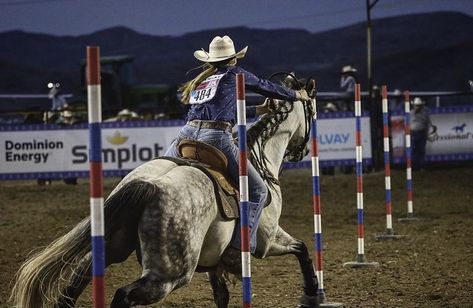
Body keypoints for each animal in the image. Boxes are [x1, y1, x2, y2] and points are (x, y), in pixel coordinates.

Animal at [11, 92, 318, 306]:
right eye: (311, 112)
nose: (302, 152)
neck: (258, 158)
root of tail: (149, 185)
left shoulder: (214, 261)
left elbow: (221, 296)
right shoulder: (268, 240)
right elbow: (302, 247)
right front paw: (312, 292)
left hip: (115, 246)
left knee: (77, 279)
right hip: (168, 275)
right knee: (123, 295)